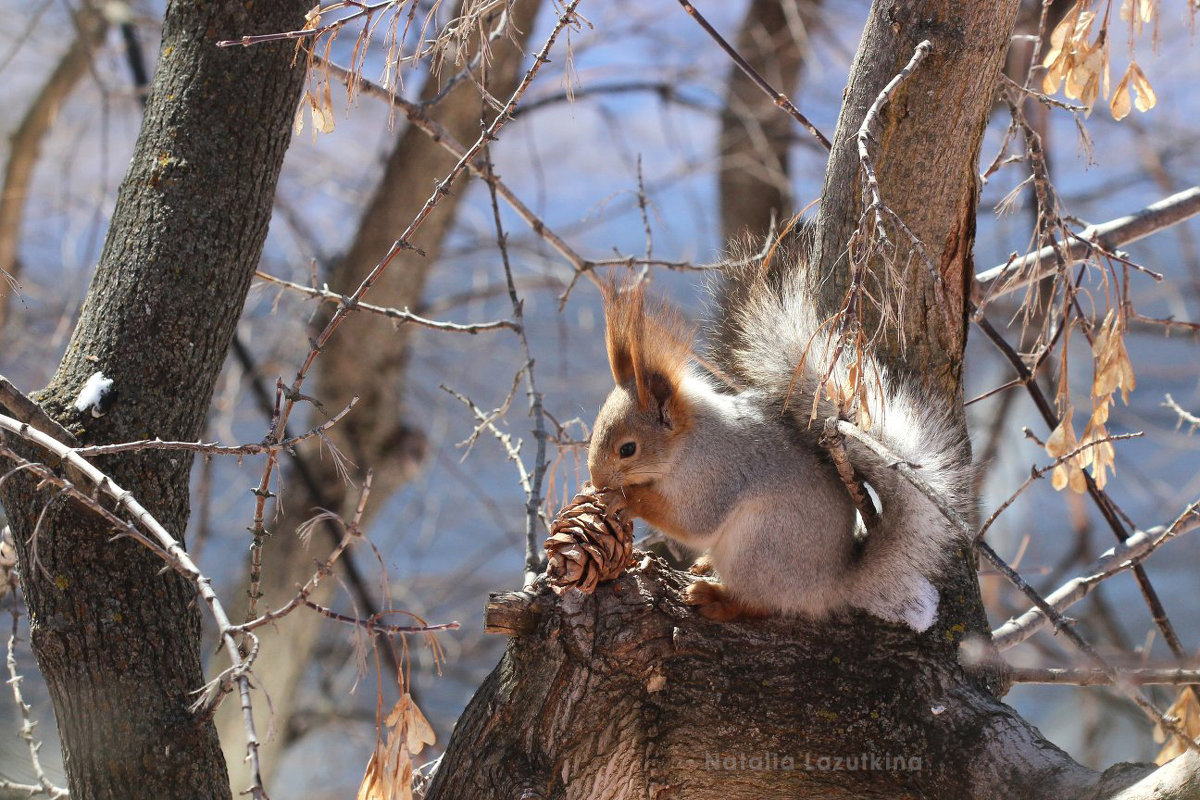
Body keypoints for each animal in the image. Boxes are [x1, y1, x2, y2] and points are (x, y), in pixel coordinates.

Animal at [585, 227, 969, 633]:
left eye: (628, 449)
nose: (596, 480)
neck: (688, 444)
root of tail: (830, 584)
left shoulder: (714, 475)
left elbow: (692, 522)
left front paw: (625, 499)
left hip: (758, 548)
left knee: (760, 604)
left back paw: (716, 598)